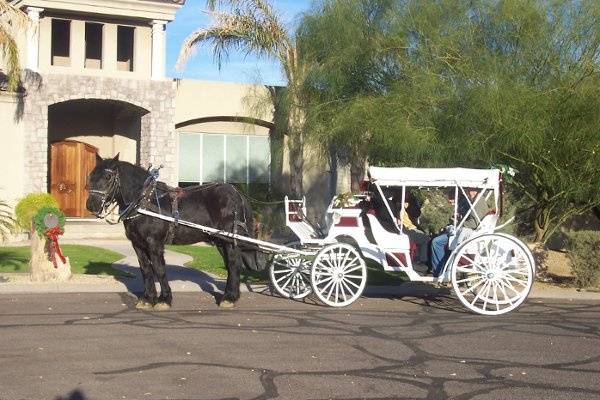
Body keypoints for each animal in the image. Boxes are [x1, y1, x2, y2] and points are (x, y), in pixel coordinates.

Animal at [85, 155, 264, 310]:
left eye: (108, 177)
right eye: (91, 176)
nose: (91, 205)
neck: (144, 202)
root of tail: (237, 193)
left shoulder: (154, 243)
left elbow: (159, 269)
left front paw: (164, 300)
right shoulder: (137, 244)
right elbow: (145, 270)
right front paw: (147, 299)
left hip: (229, 240)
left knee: (234, 264)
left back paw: (229, 298)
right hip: (221, 241)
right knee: (231, 265)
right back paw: (231, 296)